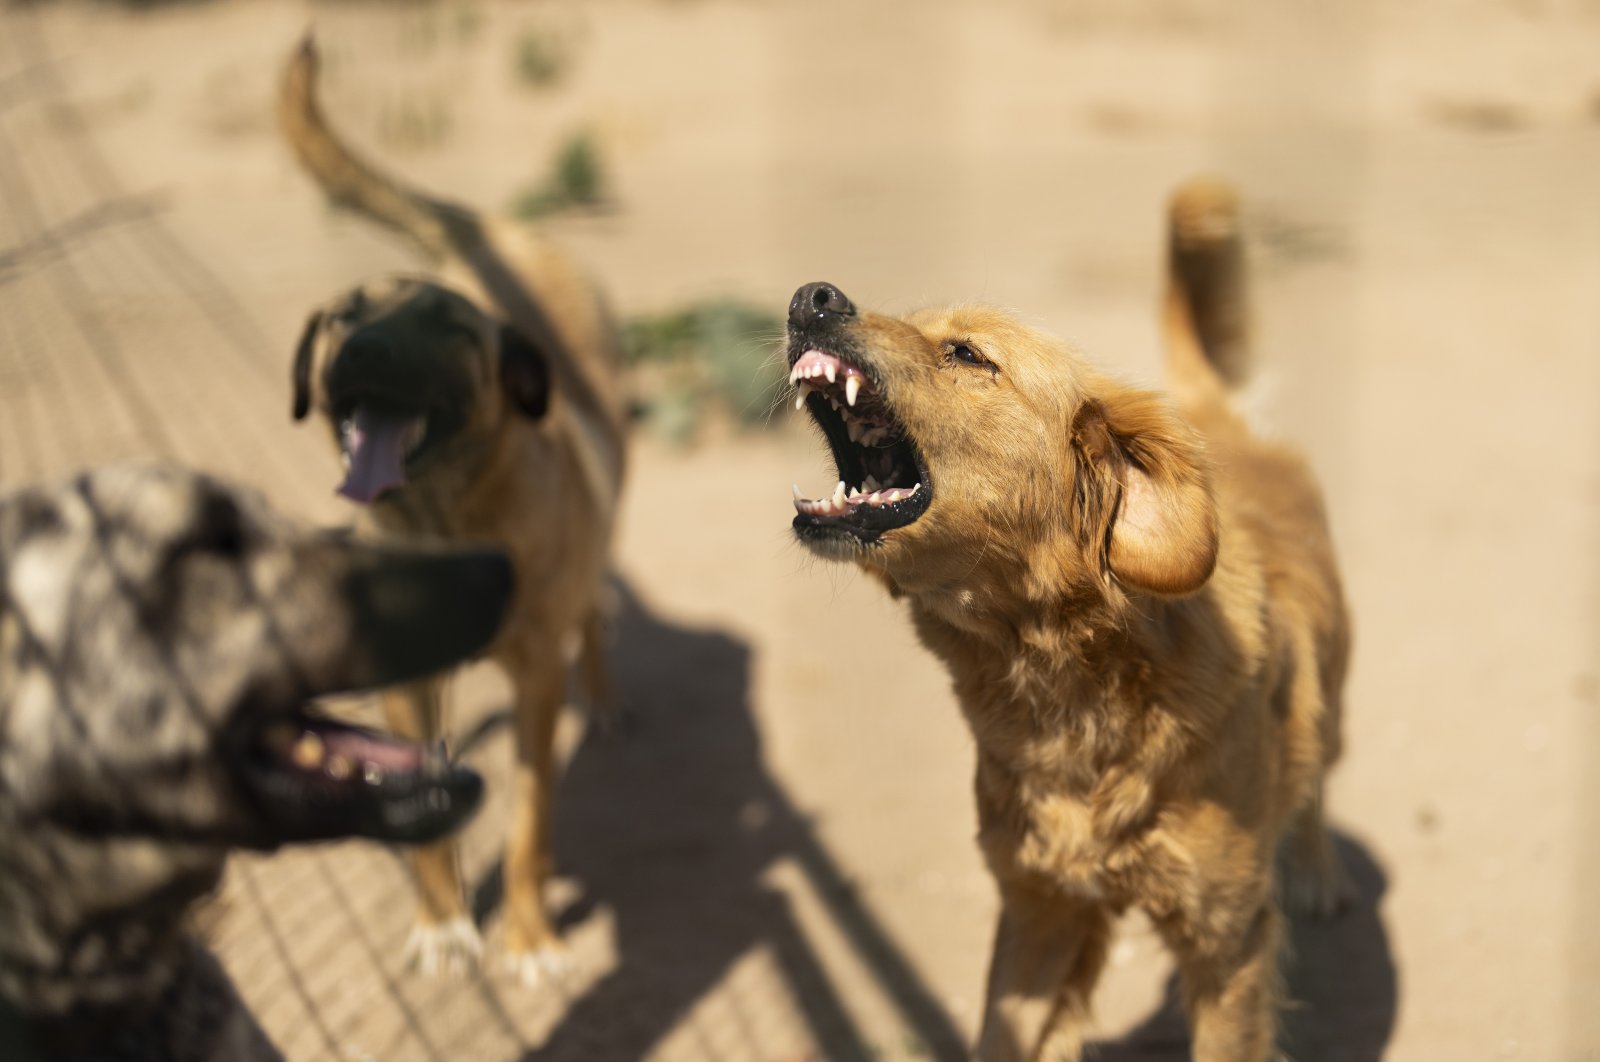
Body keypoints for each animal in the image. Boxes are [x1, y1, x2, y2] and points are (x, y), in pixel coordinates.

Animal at [278, 37, 627, 985]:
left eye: (446, 326)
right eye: (343, 318)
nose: (364, 349)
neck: (443, 518)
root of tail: (495, 233)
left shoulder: (536, 682)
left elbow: (530, 825)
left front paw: (531, 939)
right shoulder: (405, 682)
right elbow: (426, 813)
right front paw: (442, 925)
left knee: (595, 609)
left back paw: (605, 700)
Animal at [784, 178, 1350, 1055]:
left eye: (968, 354)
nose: (811, 297)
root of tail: (1212, 419)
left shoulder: (1228, 940)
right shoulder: (1038, 909)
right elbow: (1003, 1032)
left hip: (1332, 689)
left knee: (1319, 769)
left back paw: (1318, 870)